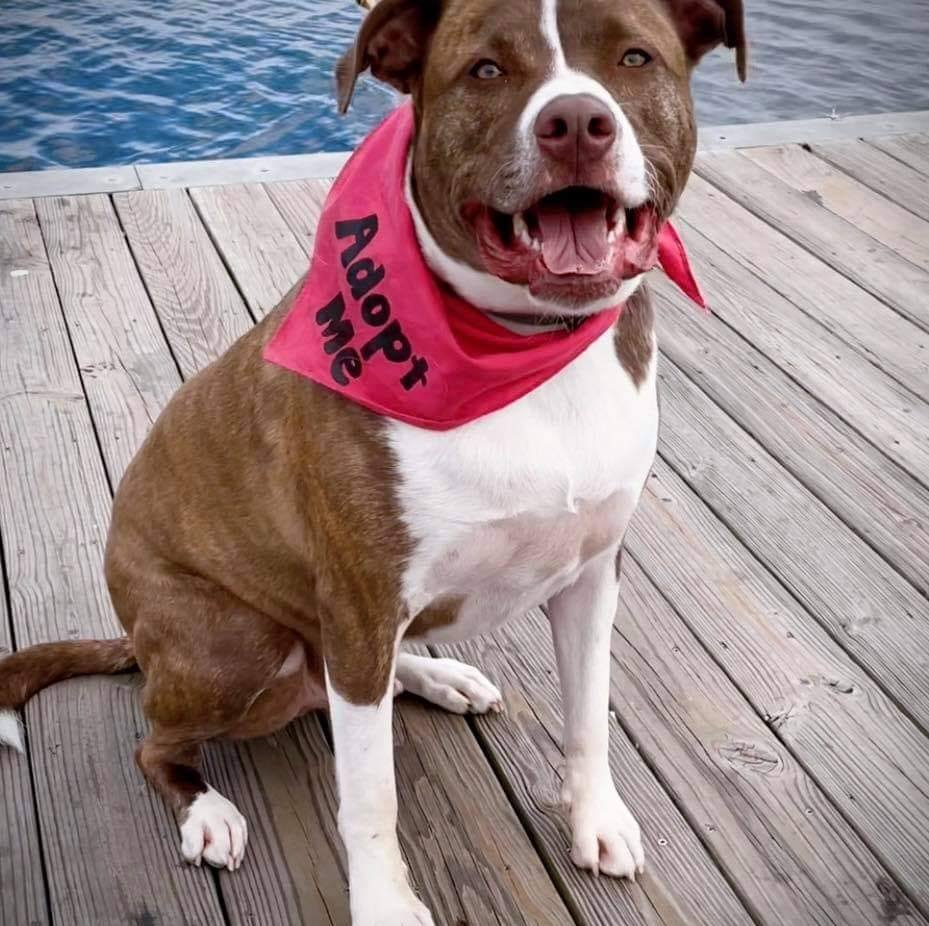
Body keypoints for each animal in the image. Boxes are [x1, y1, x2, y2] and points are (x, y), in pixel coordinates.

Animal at [0, 3, 740, 924]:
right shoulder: (360, 597)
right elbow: (370, 796)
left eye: (634, 58)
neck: (524, 349)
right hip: (234, 643)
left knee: (354, 680)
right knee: (158, 739)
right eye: (485, 70)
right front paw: (387, 904)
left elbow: (586, 714)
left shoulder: (590, 573)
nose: (576, 123)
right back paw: (205, 809)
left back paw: (437, 677)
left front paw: (595, 820)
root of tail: (134, 635)